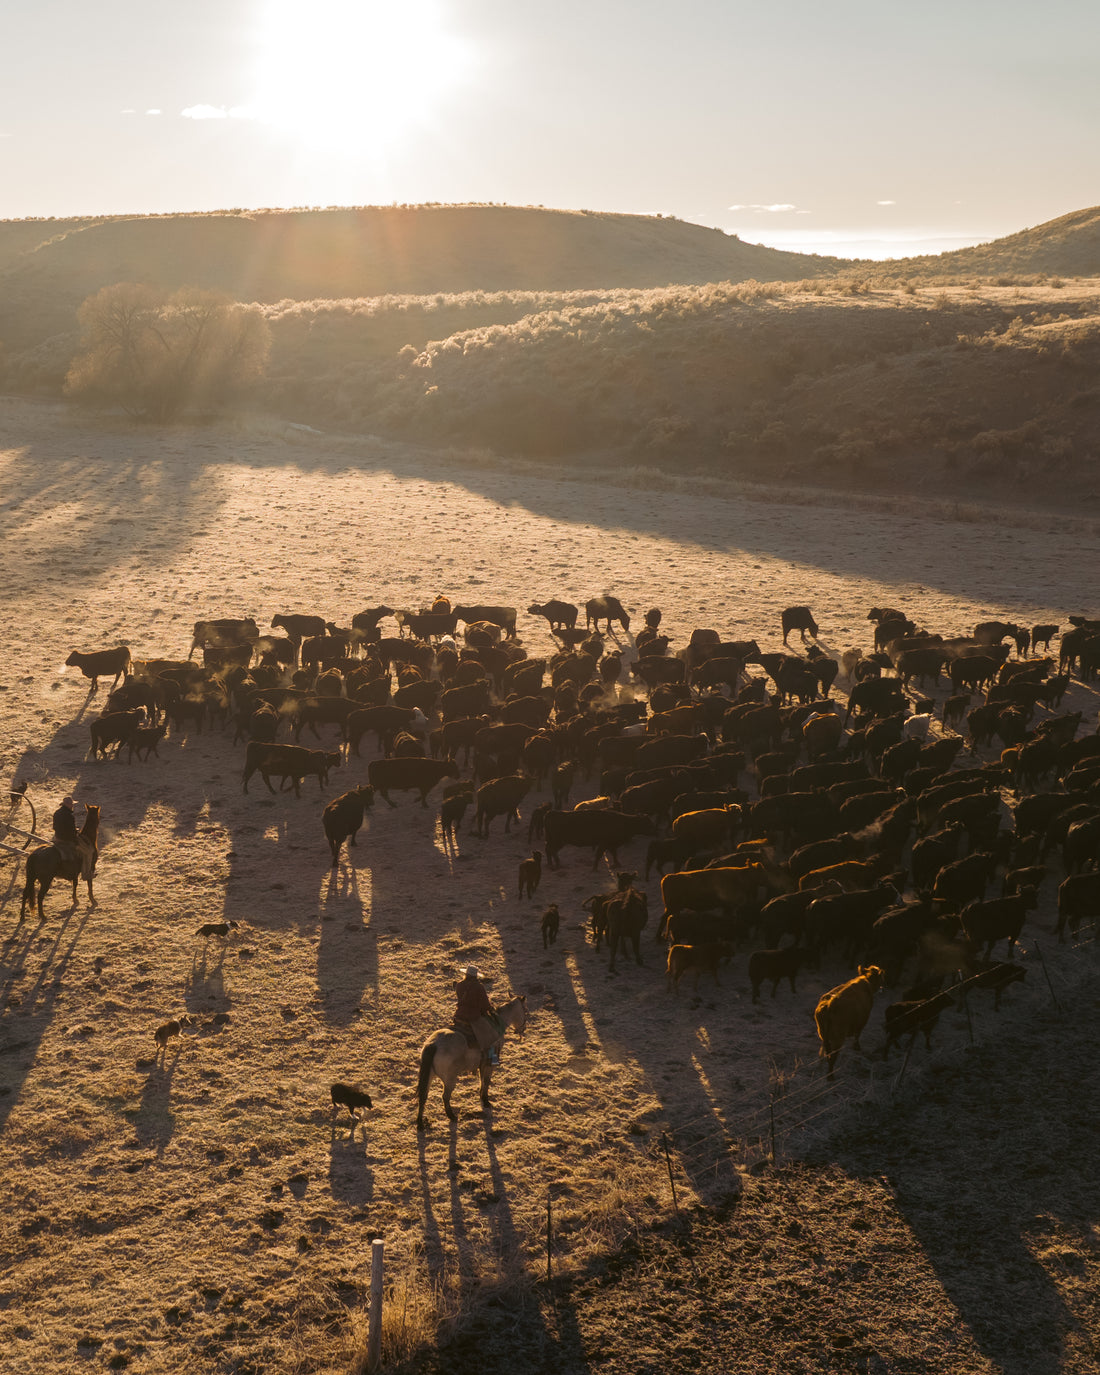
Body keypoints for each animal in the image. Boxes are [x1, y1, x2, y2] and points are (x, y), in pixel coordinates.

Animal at [418, 995, 528, 1133]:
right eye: (525, 1010)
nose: (523, 1029)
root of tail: (434, 1044)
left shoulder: (482, 1065)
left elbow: (482, 1081)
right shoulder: (489, 1065)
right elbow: (486, 1081)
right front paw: (486, 1101)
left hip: (429, 1076)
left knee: (423, 1096)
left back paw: (420, 1124)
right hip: (449, 1080)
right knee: (445, 1096)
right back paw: (452, 1116)